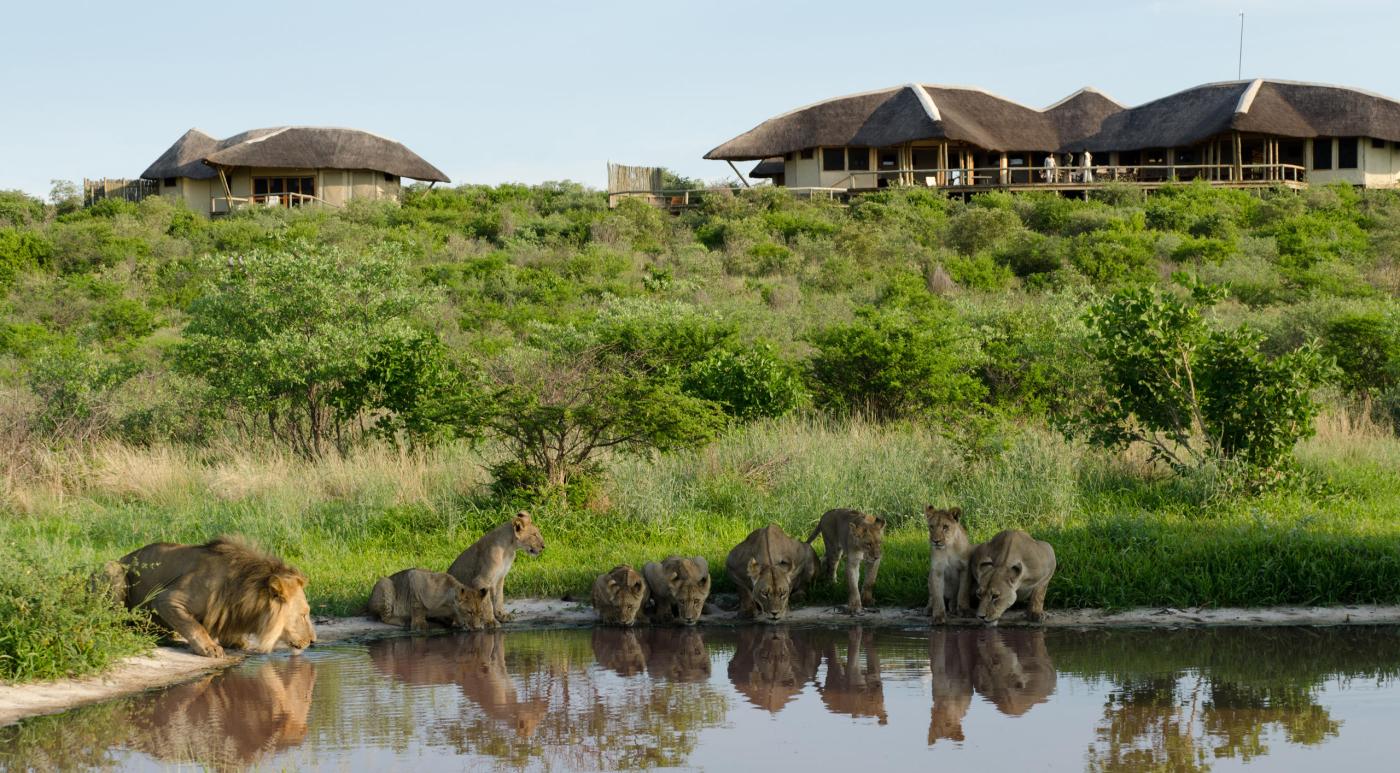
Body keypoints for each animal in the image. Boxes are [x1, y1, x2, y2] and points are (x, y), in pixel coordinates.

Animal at [366, 565, 498, 630]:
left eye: (480, 612)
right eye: (469, 612)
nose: (477, 628)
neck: (449, 605)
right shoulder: (415, 578)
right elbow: (417, 605)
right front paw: (419, 624)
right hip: (385, 584)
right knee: (384, 617)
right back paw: (403, 620)